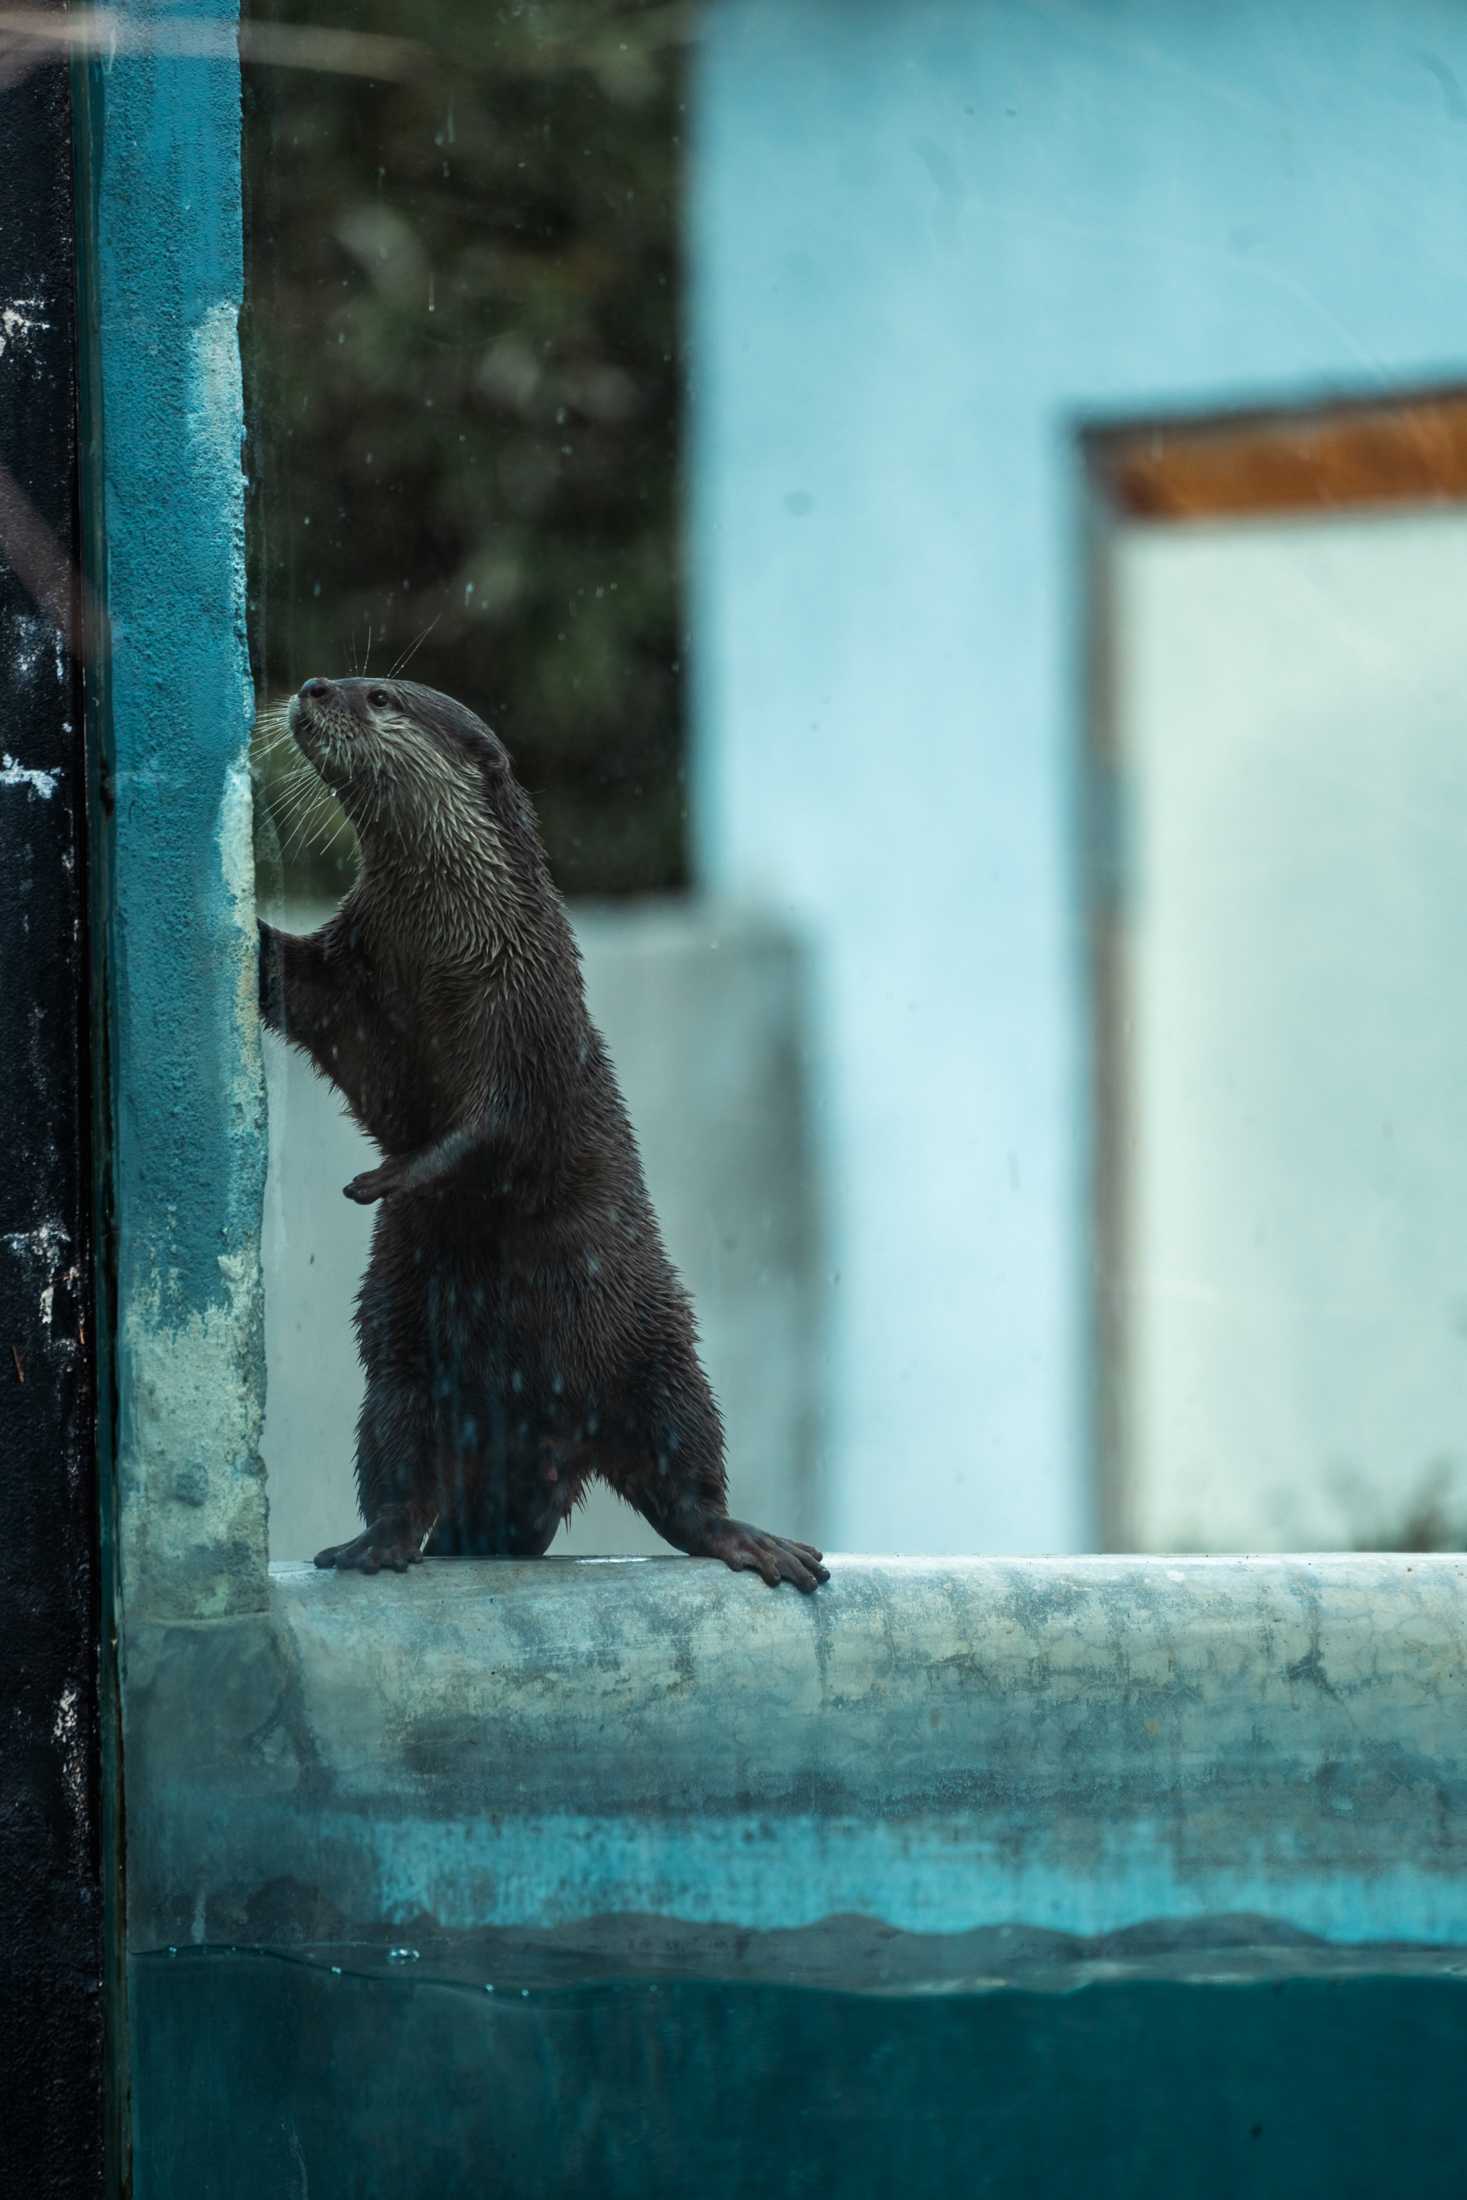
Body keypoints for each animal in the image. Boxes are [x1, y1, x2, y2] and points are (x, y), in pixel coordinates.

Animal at [255, 677, 826, 1592]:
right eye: (340, 680)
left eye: (377, 694)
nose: (311, 688)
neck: (443, 946)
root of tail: (535, 1443)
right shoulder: (354, 972)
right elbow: (305, 995)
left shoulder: (529, 1020)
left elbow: (495, 1129)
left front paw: (386, 1178)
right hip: (401, 1365)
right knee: (400, 1472)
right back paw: (373, 1545)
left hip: (660, 1355)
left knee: (685, 1482)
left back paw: (748, 1538)